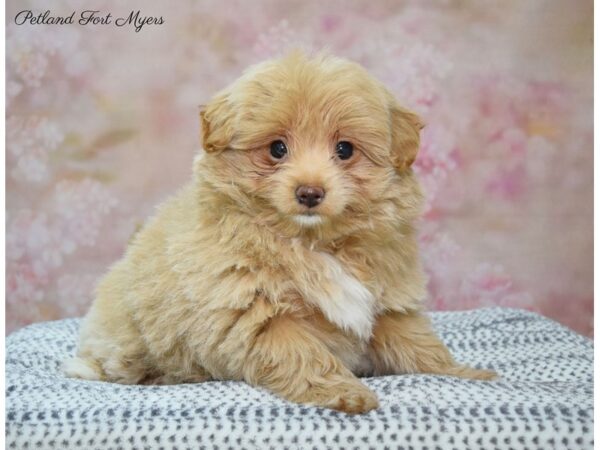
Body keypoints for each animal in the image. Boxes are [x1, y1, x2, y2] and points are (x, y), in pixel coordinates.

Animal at [64, 51, 496, 414]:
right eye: (276, 149)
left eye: (344, 149)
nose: (309, 192)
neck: (313, 241)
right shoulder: (259, 316)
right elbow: (303, 353)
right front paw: (345, 393)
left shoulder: (388, 303)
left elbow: (417, 343)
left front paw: (463, 373)